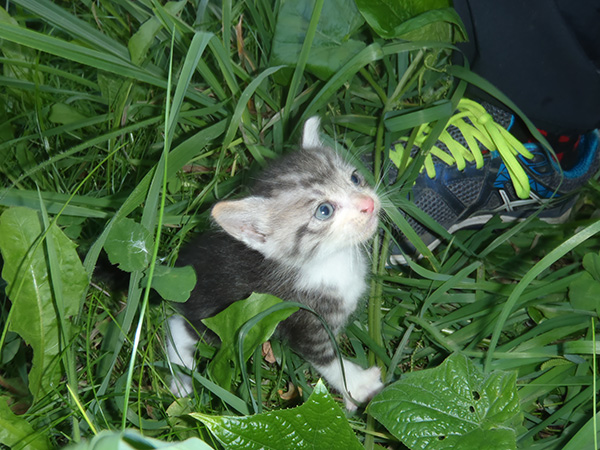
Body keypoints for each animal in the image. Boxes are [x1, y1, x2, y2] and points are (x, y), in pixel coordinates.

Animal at [168, 117, 384, 412]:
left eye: (354, 178)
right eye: (324, 210)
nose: (369, 203)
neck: (330, 261)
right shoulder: (305, 320)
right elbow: (328, 360)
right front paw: (358, 386)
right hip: (216, 320)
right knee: (177, 326)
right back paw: (180, 376)